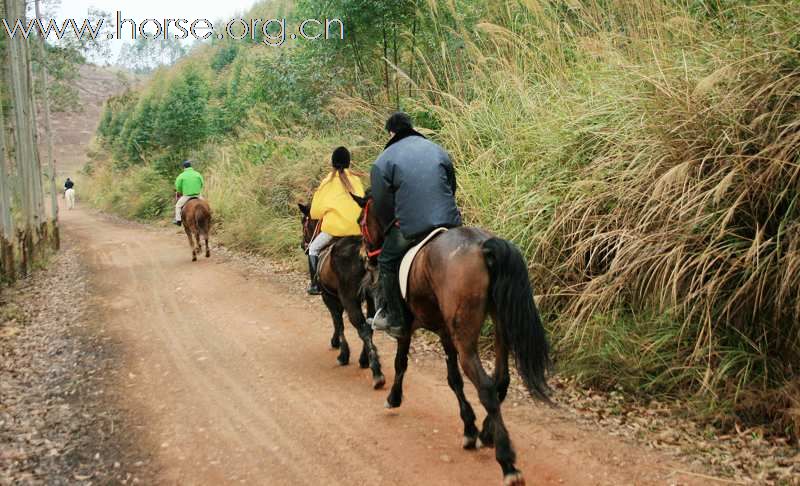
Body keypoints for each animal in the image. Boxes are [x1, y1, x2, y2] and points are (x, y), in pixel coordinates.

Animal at [300, 203, 388, 390]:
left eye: (304, 222)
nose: (302, 244)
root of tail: (363, 257)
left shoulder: (329, 297)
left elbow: (337, 322)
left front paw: (342, 353)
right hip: (371, 298)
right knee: (368, 326)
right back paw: (365, 360)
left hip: (349, 299)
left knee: (362, 328)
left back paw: (376, 372)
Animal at [354, 194, 552, 486]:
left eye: (361, 221)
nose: (364, 257)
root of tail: (482, 248)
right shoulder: (445, 332)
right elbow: (453, 379)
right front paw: (469, 427)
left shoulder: (408, 327)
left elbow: (402, 363)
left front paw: (393, 397)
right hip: (498, 323)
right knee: (501, 379)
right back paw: (487, 433)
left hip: (465, 337)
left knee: (486, 387)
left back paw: (507, 462)